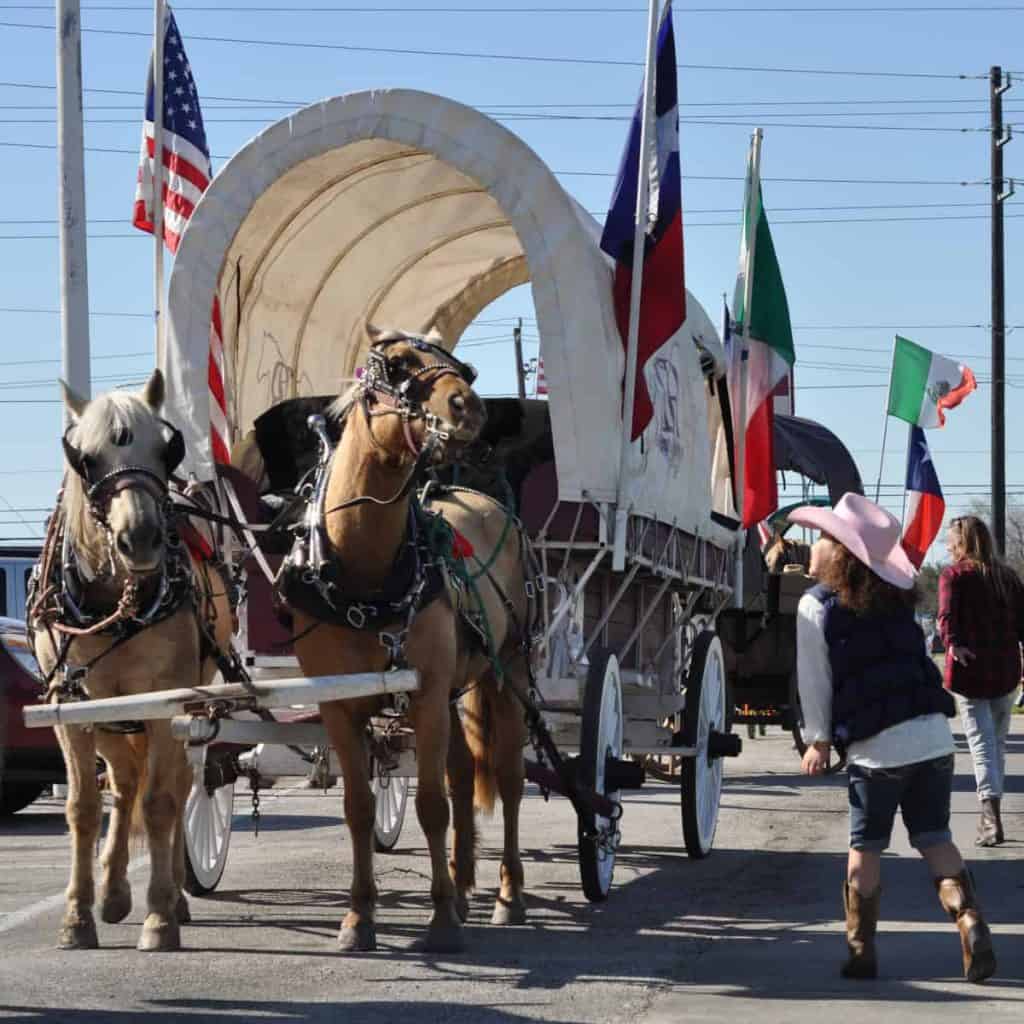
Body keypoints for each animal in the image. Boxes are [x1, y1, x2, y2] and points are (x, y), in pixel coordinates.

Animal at [30, 372, 234, 954]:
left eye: (165, 450)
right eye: (85, 457)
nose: (139, 539)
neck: (111, 602)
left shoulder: (167, 703)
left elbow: (163, 802)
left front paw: (160, 917)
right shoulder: (70, 707)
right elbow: (83, 807)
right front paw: (78, 917)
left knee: (179, 785)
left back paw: (173, 896)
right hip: (112, 714)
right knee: (122, 784)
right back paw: (114, 892)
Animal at [286, 325, 532, 950]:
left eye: (462, 367)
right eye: (396, 365)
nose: (469, 407)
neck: (365, 576)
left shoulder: (424, 694)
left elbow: (430, 805)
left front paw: (441, 918)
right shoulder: (339, 705)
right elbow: (358, 808)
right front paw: (358, 917)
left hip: (509, 671)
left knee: (510, 778)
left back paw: (507, 895)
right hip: (456, 692)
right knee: (465, 773)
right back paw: (466, 885)